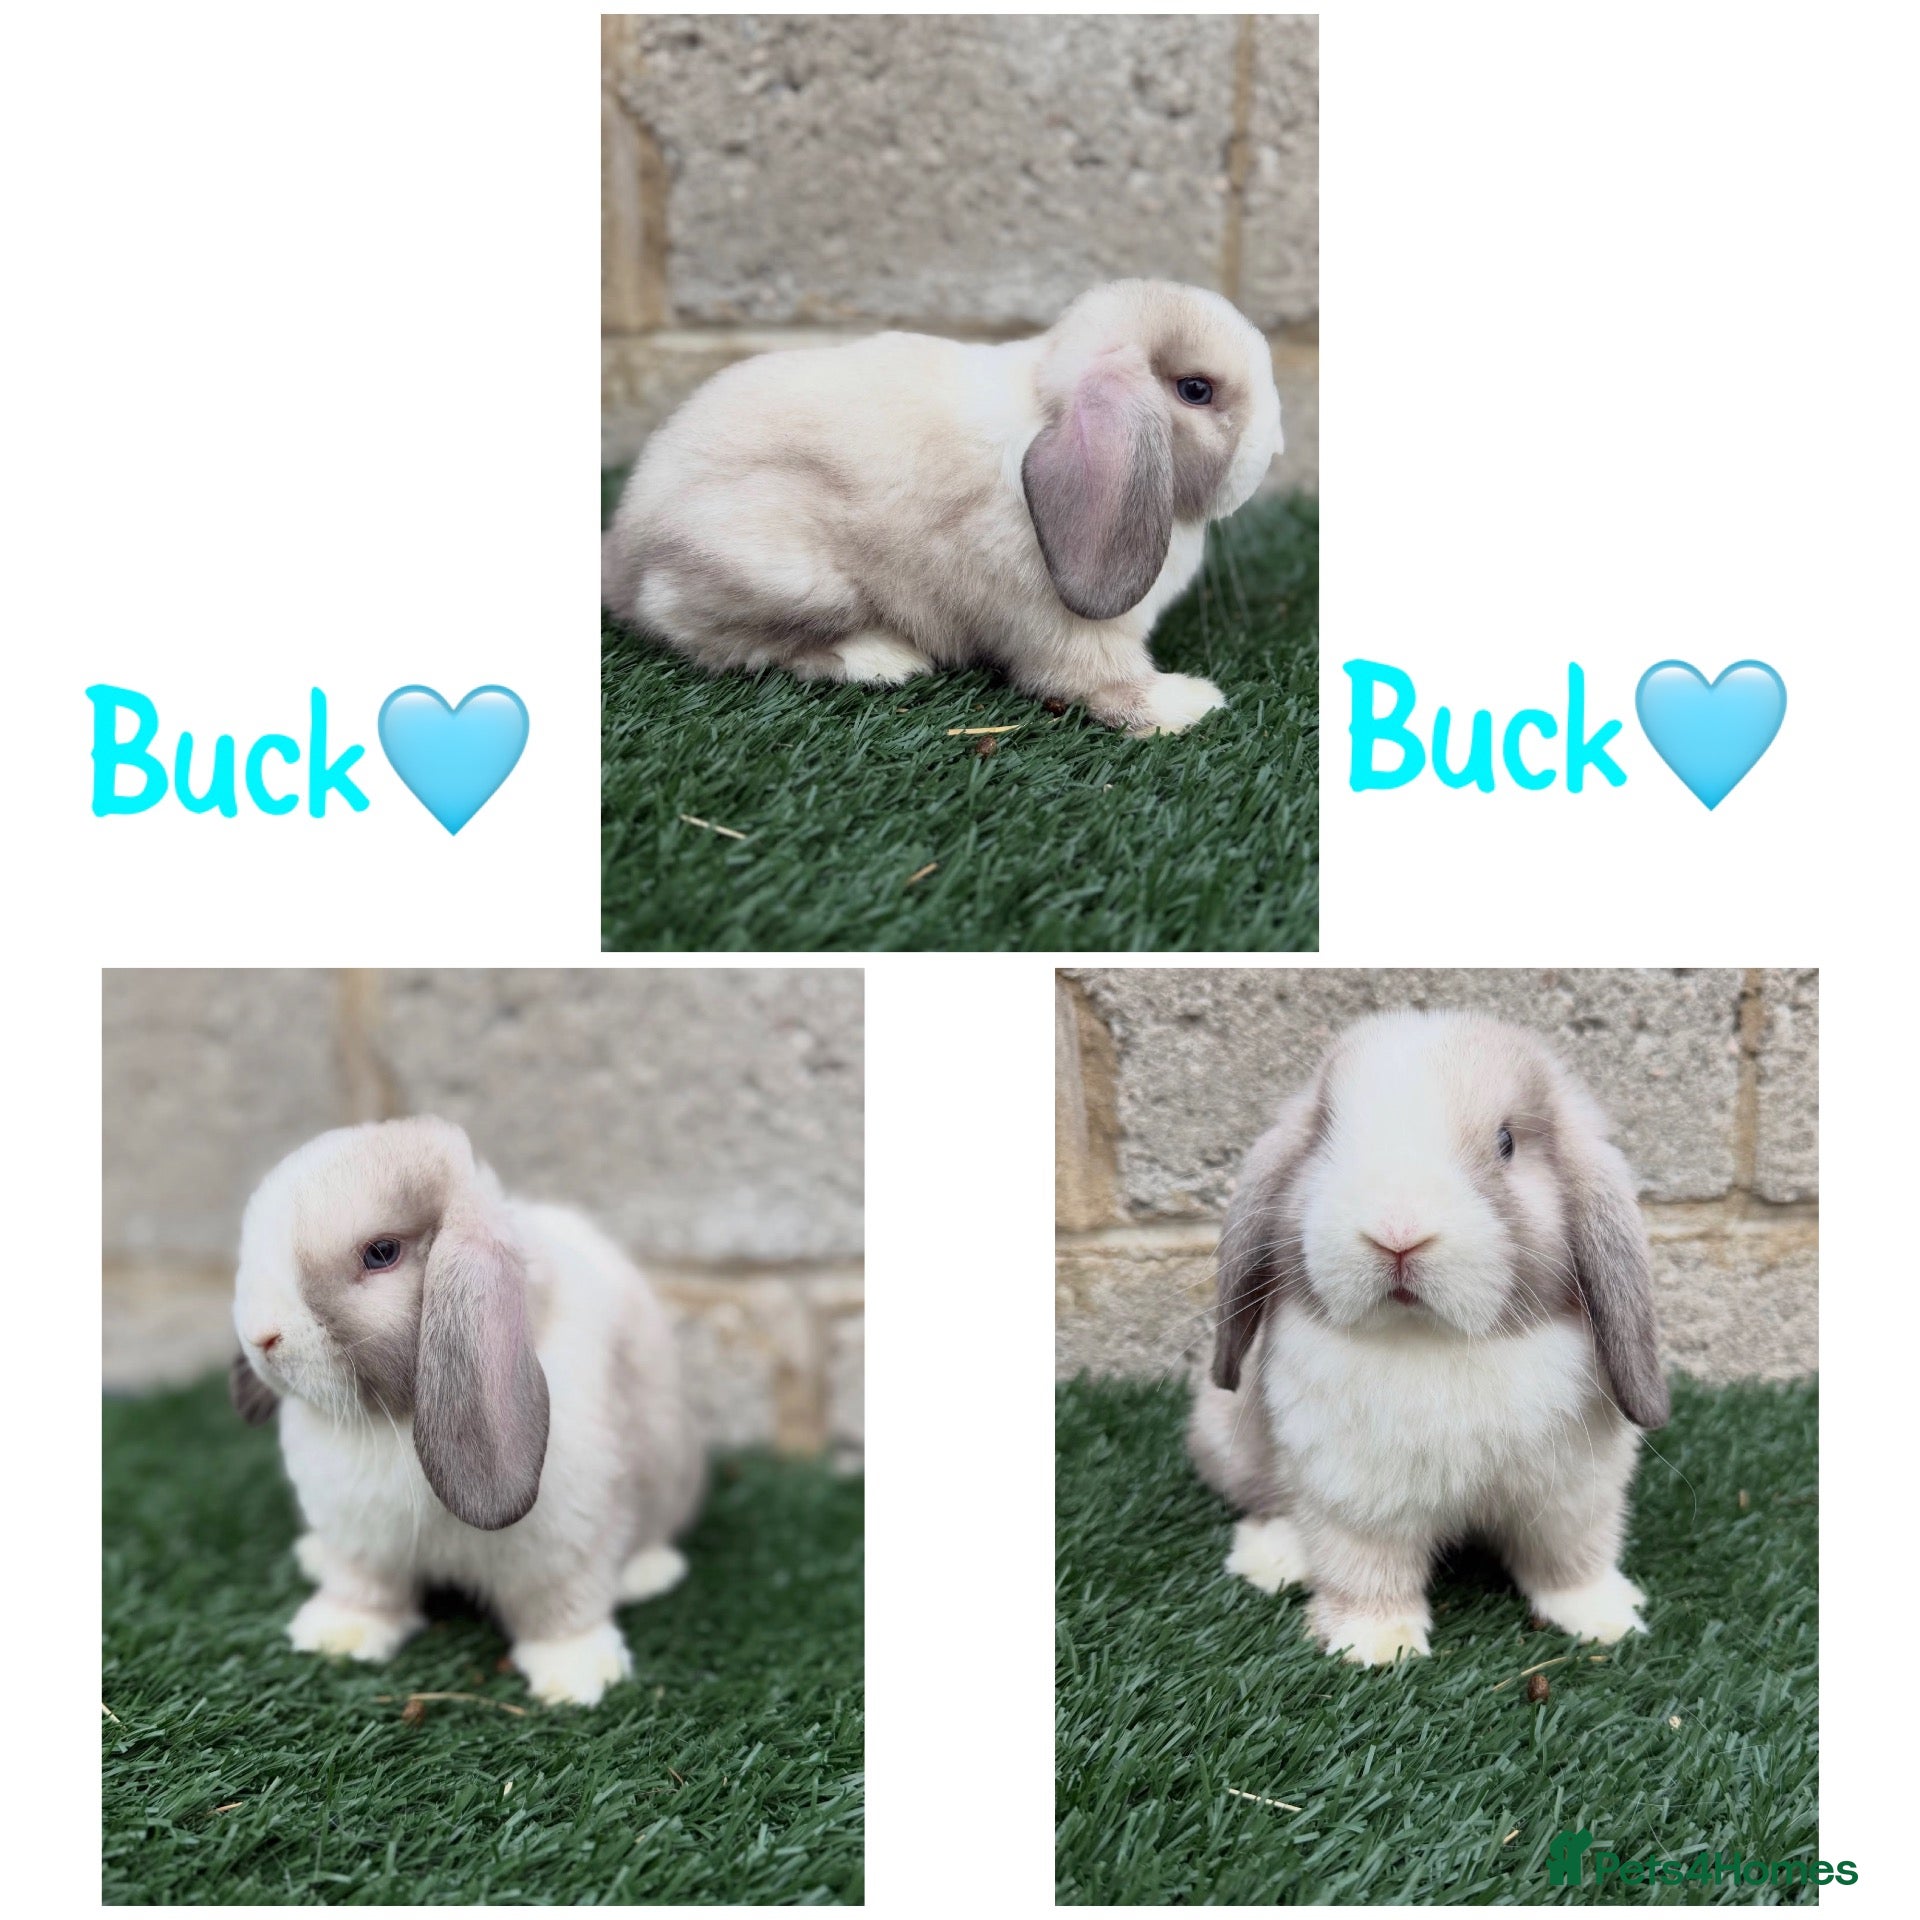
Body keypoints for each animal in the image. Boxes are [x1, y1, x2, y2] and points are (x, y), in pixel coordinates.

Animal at [228, 1115, 704, 1707]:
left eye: (381, 1253)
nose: (260, 1336)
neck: (393, 1420)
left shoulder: (564, 1545)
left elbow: (562, 1607)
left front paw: (577, 1675)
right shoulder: (363, 1545)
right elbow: (363, 1589)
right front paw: (338, 1636)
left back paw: (647, 1574)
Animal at [601, 280, 1283, 735]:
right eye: (1196, 390)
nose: (1274, 446)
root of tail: (626, 560)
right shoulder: (1070, 632)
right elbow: (1101, 681)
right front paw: (1188, 704)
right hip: (788, 577)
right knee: (723, 642)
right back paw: (880, 659)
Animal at [1186, 1010, 1670, 1667]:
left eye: (1506, 1143)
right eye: (1326, 1137)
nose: (1398, 1231)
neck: (1432, 1338)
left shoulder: (1572, 1493)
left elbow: (1572, 1558)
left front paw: (1604, 1619)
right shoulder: (1354, 1498)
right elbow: (1365, 1569)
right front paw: (1375, 1644)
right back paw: (1274, 1557)